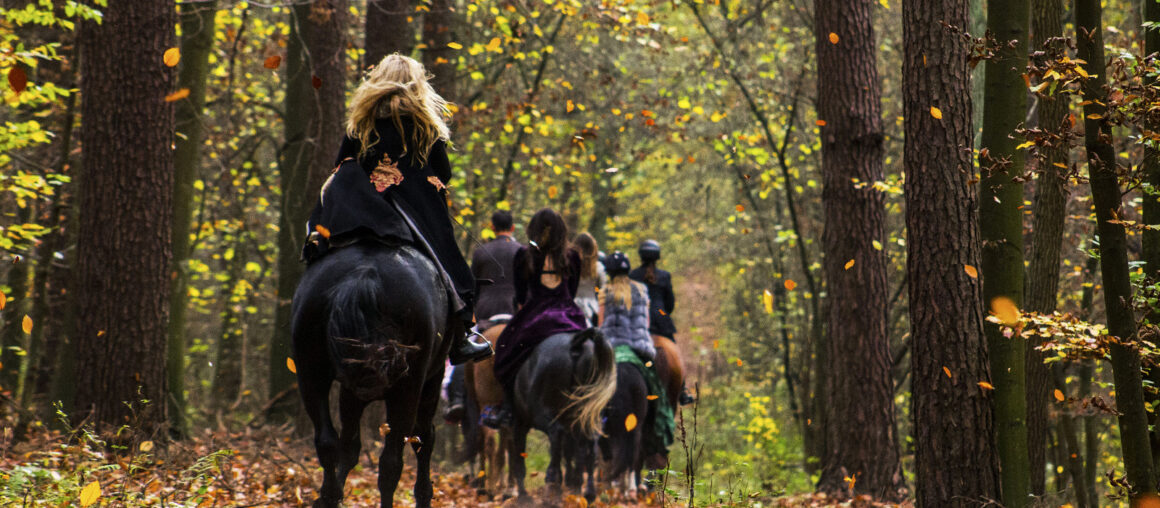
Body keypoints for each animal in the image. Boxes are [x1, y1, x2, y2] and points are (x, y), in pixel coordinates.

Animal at [287, 242, 454, 508]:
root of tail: (365, 275)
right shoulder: (428, 380)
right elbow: (421, 440)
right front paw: (424, 494)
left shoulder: (351, 389)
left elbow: (348, 447)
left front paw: (334, 494)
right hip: (410, 386)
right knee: (394, 459)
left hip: (310, 372)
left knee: (327, 442)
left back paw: (329, 496)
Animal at [508, 327, 617, 501]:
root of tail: (575, 342)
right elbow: (572, 452)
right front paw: (573, 483)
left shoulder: (519, 422)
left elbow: (519, 458)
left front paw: (523, 496)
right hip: (587, 416)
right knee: (589, 445)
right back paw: (587, 492)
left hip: (544, 415)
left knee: (556, 436)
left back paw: (552, 486)